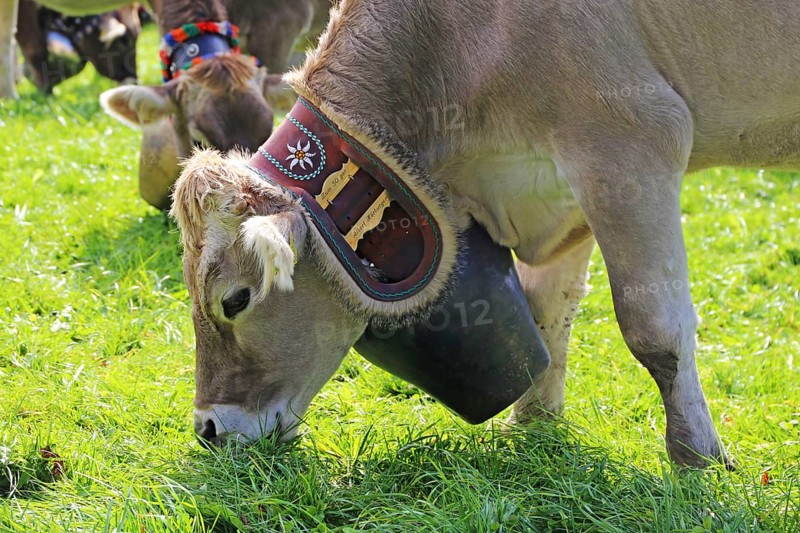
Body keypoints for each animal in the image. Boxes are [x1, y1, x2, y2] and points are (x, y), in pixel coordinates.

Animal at [180, 0, 800, 468]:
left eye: (234, 300)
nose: (208, 428)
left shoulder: (629, 143)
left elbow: (655, 330)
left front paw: (697, 457)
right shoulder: (555, 188)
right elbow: (548, 311)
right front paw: (536, 430)